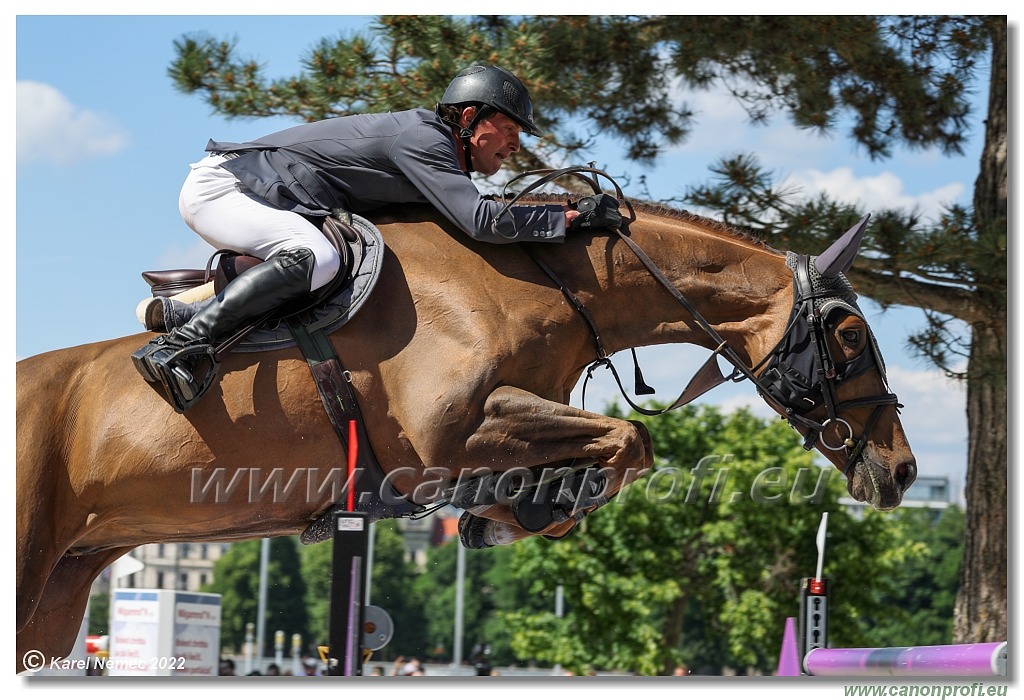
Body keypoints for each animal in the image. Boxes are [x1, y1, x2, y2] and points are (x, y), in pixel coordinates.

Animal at [16, 192, 917, 671]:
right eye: (849, 335)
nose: (902, 470)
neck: (544, 288)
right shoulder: (445, 441)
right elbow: (634, 443)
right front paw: (518, 511)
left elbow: (614, 447)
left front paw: (509, 512)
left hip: (64, 584)